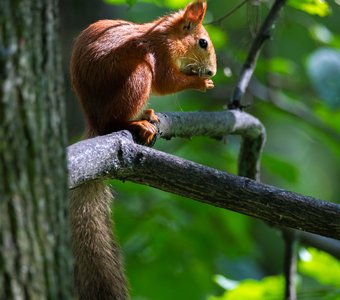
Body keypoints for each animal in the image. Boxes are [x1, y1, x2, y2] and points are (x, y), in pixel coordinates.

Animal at [69, 1, 215, 298]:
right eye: (203, 42)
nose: (212, 72)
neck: (164, 35)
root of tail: (94, 123)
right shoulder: (159, 53)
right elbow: (165, 82)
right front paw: (199, 83)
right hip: (137, 75)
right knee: (116, 119)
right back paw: (136, 122)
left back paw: (147, 114)